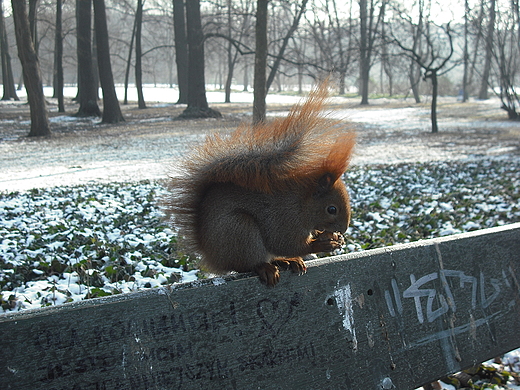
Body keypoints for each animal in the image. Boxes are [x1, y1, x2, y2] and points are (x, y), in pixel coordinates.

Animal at [169, 82, 356, 284]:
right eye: (331, 209)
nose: (344, 229)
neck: (301, 203)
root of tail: (212, 256)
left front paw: (333, 238)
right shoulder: (284, 219)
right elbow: (285, 243)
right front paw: (322, 244)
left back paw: (287, 260)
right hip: (240, 230)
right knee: (247, 264)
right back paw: (266, 267)